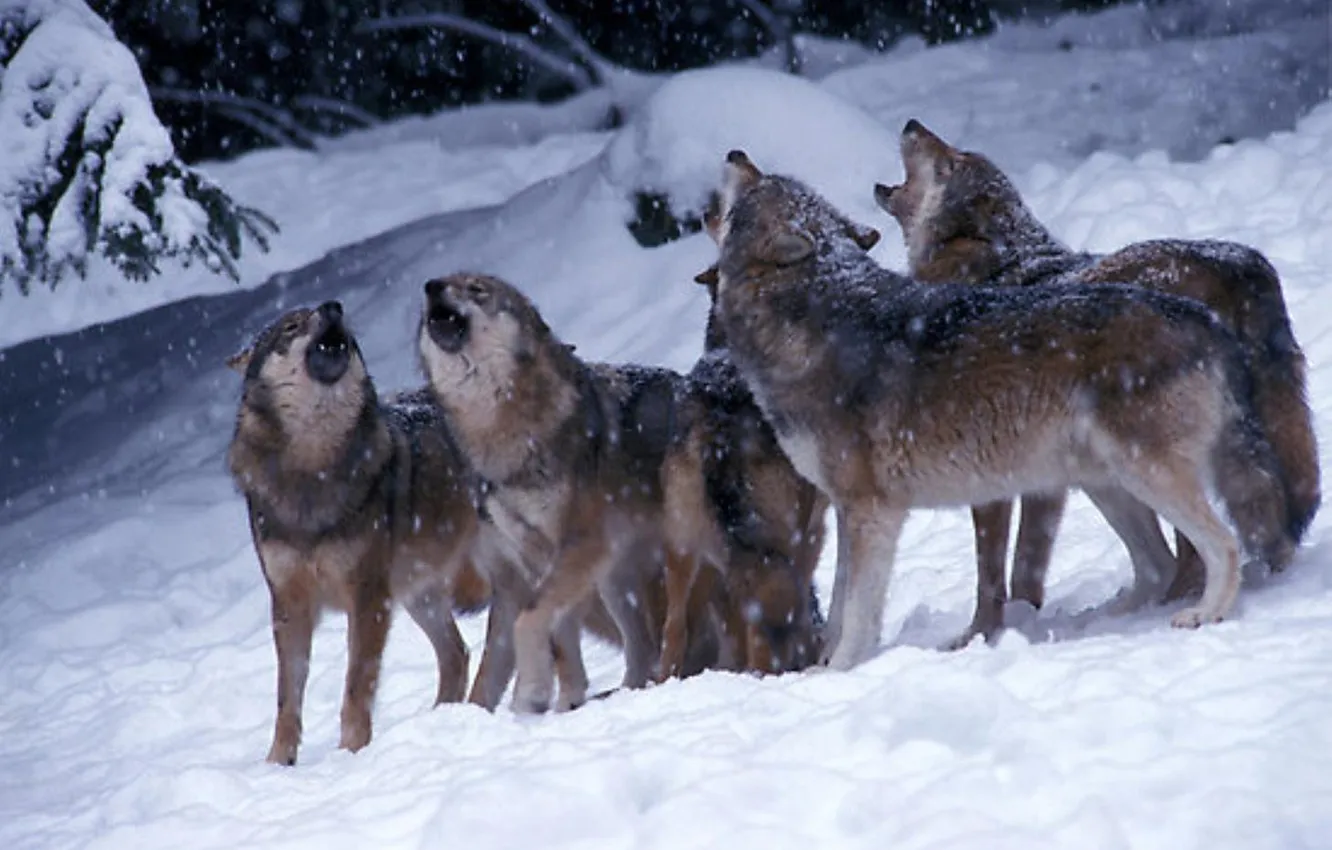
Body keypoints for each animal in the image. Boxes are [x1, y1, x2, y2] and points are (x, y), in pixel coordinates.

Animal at [227, 301, 489, 765]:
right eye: (291, 325)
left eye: (334, 317)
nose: (334, 306)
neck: (312, 467)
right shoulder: (289, 604)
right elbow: (287, 697)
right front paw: (278, 763)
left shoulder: (367, 596)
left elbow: (356, 685)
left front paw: (351, 751)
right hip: (420, 595)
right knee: (457, 654)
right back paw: (442, 717)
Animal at [418, 273, 681, 714]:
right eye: (435, 291)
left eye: (477, 289)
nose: (431, 285)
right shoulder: (534, 556)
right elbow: (557, 635)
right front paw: (562, 699)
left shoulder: (579, 541)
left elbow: (530, 619)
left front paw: (533, 692)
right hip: (614, 580)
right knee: (641, 647)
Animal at [708, 150, 1293, 670]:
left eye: (746, 195)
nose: (734, 153)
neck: (809, 320)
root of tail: (1202, 318)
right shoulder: (847, 509)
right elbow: (835, 608)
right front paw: (824, 666)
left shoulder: (872, 511)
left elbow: (856, 614)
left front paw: (840, 672)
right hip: (1106, 482)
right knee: (1158, 565)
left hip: (1146, 476)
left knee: (1221, 546)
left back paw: (1205, 614)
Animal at [874, 119, 1318, 643]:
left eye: (949, 163)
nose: (911, 124)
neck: (993, 264)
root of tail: (1237, 264)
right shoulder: (1043, 479)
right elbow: (1027, 564)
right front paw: (1023, 621)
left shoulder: (991, 476)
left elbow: (990, 572)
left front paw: (980, 637)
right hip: (1111, 470)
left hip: (1142, 460)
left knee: (1193, 550)